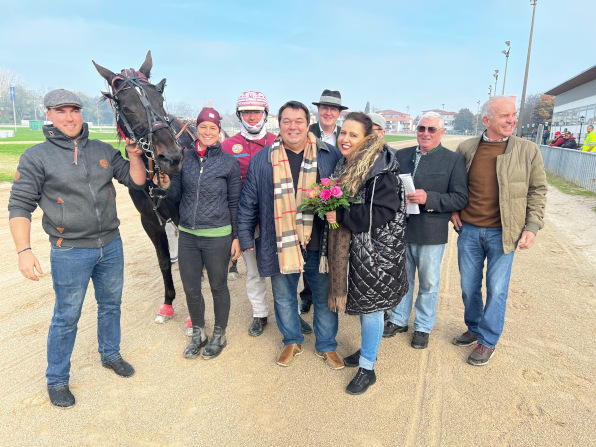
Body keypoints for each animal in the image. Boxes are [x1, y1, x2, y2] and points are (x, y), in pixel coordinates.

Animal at [92, 51, 197, 332]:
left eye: (160, 100)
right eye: (126, 107)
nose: (171, 157)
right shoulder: (150, 220)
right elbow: (164, 262)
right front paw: (168, 303)